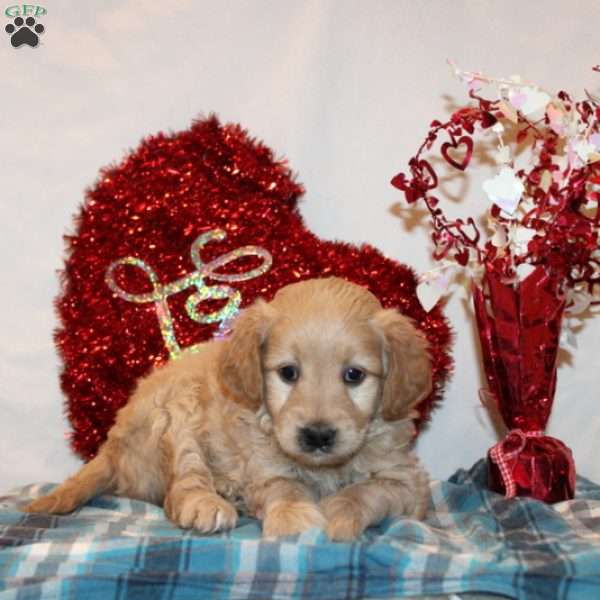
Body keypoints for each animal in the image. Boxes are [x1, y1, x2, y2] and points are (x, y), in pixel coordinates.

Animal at [25, 278, 434, 540]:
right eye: (288, 372)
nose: (317, 435)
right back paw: (207, 501)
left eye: (354, 375)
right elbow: (285, 486)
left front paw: (338, 509)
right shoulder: (264, 467)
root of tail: (110, 447)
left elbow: (367, 490)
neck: (323, 470)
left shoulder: (408, 483)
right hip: (176, 410)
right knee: (181, 485)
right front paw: (295, 517)